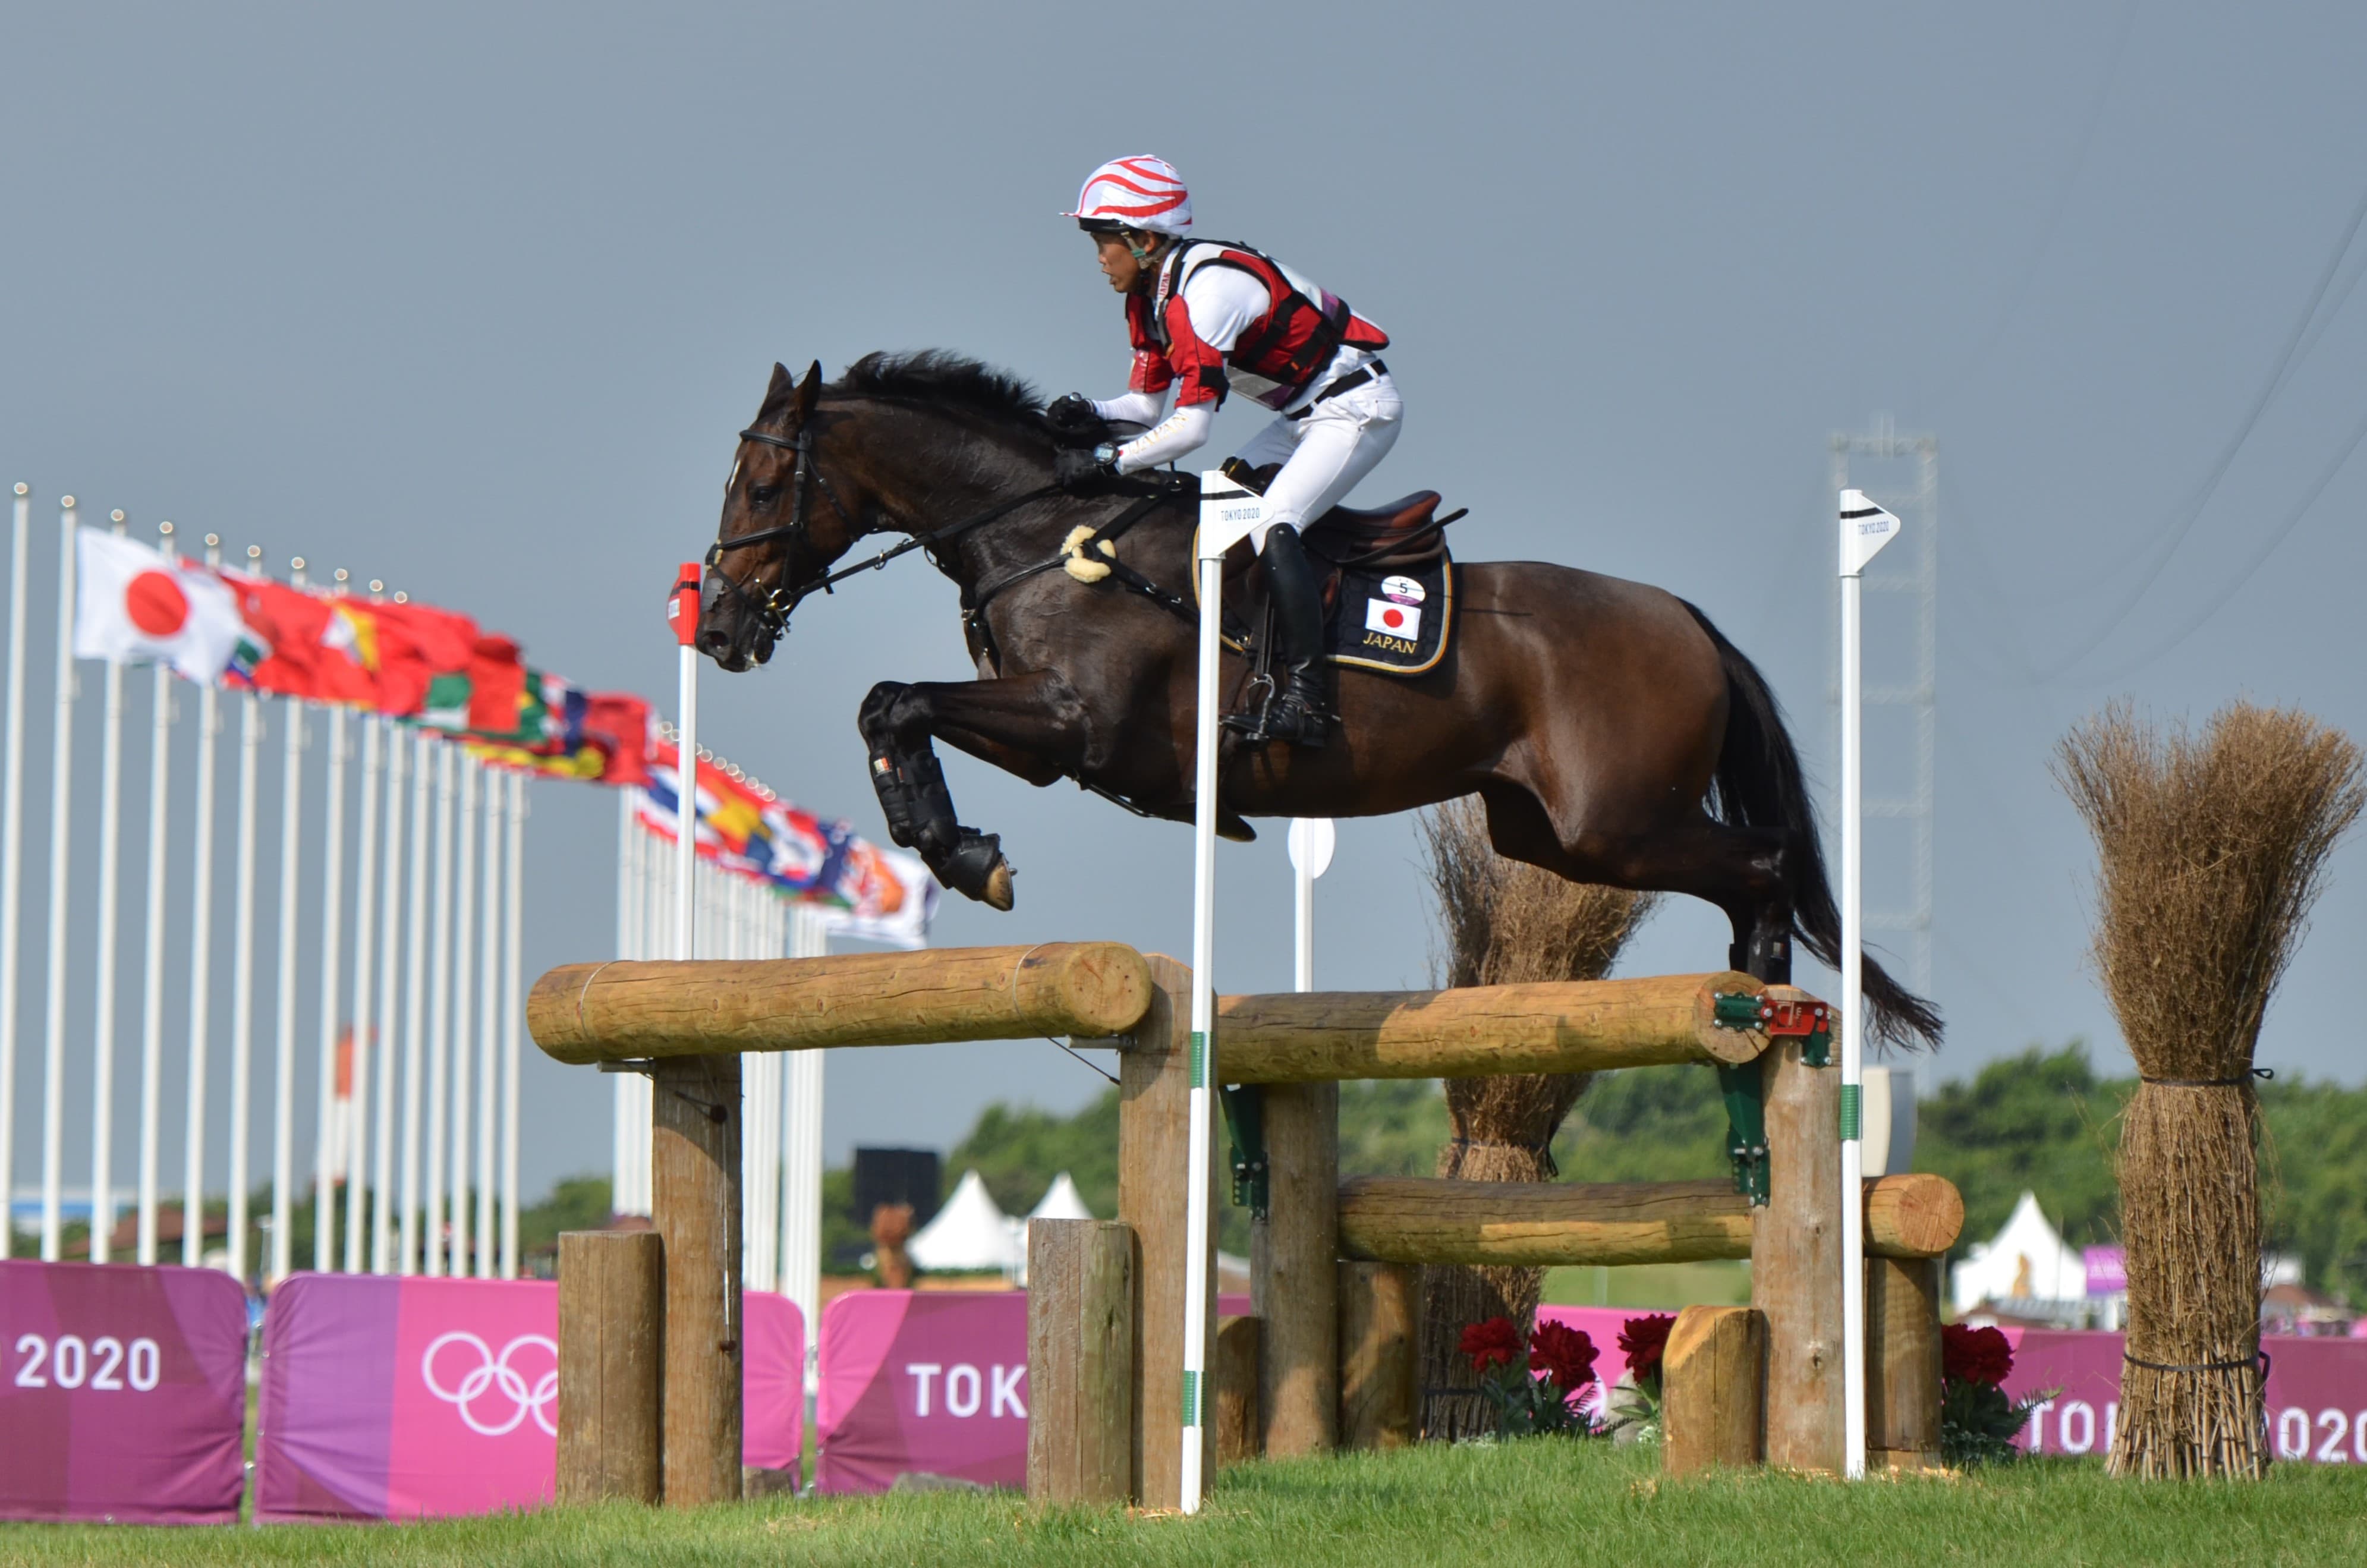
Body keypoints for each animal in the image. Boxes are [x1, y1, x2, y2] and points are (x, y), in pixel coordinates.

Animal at [691, 352, 1941, 1042]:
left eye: (763, 480)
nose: (716, 630)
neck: (1046, 533)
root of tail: (1685, 619)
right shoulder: (1051, 735)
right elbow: (888, 705)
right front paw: (947, 844)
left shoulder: (1072, 731)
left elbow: (896, 700)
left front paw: (961, 854)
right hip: (1554, 836)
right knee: (1747, 875)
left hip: (1614, 824)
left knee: (1765, 864)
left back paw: (1770, 1015)